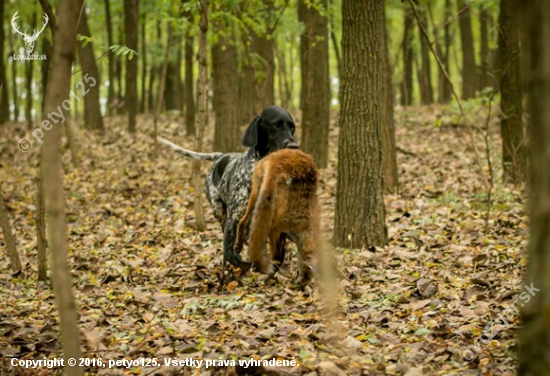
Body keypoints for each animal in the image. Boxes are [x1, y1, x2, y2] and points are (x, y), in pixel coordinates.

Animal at [157, 106, 300, 268]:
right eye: (275, 125)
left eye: (292, 127)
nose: (294, 146)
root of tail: (220, 156)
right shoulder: (234, 218)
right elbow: (228, 250)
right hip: (220, 212)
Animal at [234, 149, 322, 284]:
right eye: (306, 276)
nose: (298, 284)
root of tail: (276, 161)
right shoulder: (278, 228)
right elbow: (278, 257)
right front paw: (271, 274)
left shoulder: (283, 232)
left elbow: (281, 254)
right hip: (270, 206)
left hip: (256, 194)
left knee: (242, 221)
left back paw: (239, 244)